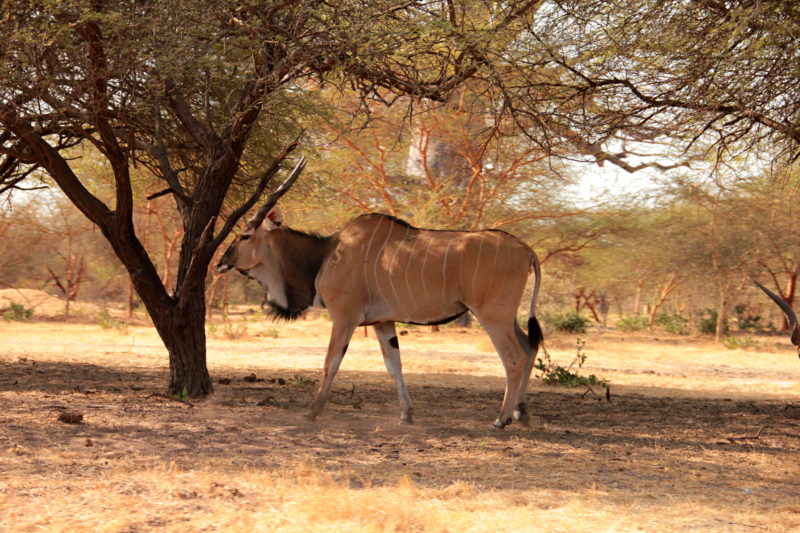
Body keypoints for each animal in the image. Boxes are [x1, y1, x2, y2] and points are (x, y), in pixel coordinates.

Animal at [217, 156, 544, 426]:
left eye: (244, 236)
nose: (221, 263)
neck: (326, 254)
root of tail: (525, 248)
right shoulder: (382, 322)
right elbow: (393, 366)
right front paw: (406, 415)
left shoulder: (345, 318)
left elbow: (330, 363)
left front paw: (311, 412)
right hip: (505, 316)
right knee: (529, 347)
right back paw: (522, 413)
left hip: (492, 315)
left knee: (514, 357)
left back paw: (501, 419)